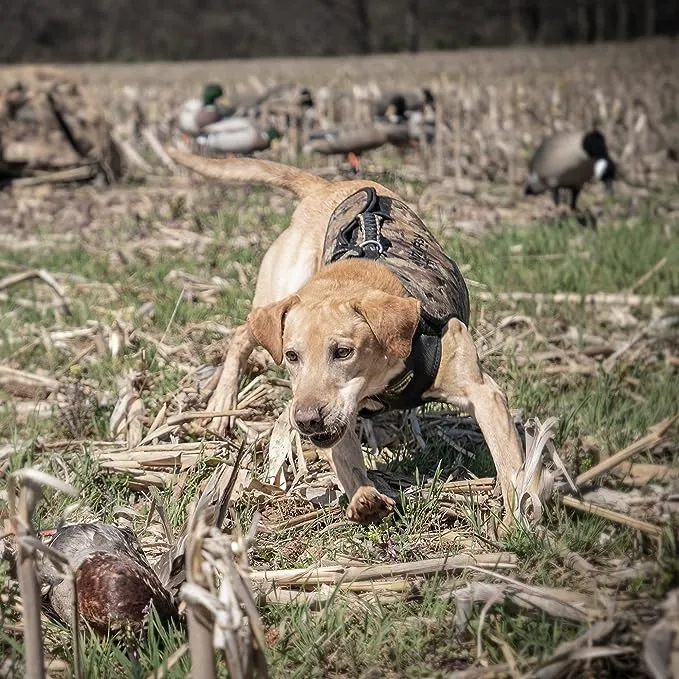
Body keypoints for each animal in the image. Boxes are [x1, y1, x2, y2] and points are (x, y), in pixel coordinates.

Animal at [170, 150, 532, 524]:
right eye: (292, 356)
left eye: (343, 352)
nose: (306, 420)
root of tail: (325, 187)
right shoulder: (336, 417)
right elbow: (347, 461)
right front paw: (364, 498)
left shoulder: (485, 395)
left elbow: (510, 465)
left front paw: (516, 523)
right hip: (278, 290)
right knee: (243, 334)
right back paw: (221, 404)